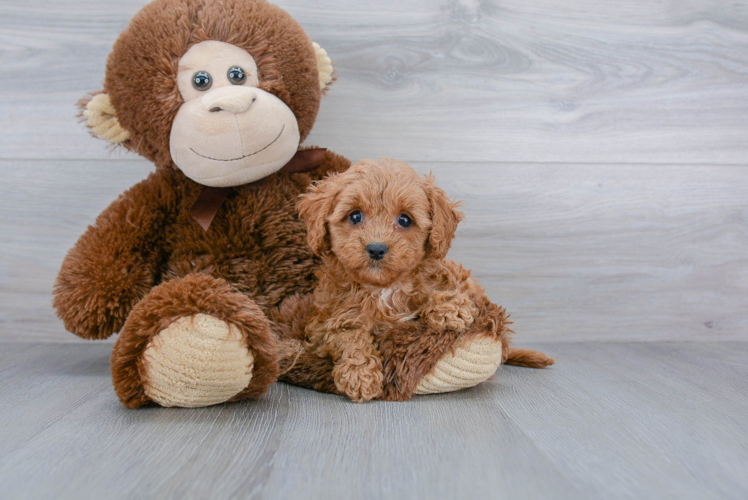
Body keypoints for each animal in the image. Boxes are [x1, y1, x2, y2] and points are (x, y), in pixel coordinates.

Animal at [298, 159, 548, 402]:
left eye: (405, 220)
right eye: (355, 216)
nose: (376, 248)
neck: (384, 288)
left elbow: (439, 290)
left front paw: (450, 308)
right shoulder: (323, 326)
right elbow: (349, 335)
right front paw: (360, 375)